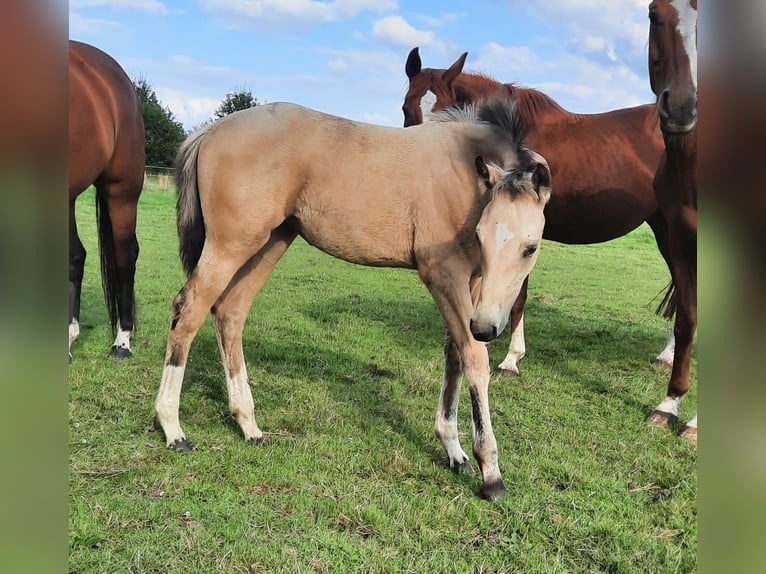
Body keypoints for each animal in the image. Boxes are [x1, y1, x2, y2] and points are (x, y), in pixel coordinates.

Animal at [154, 101, 552, 502]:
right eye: (482, 236)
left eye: (530, 248)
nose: (486, 326)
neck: (465, 176)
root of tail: (210, 130)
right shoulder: (444, 275)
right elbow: (474, 358)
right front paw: (490, 472)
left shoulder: (472, 284)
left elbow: (455, 354)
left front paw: (454, 452)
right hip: (230, 245)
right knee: (189, 311)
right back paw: (172, 427)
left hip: (271, 241)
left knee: (230, 312)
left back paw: (248, 424)